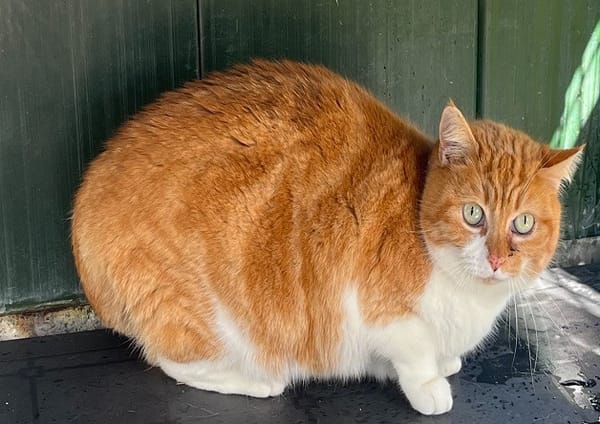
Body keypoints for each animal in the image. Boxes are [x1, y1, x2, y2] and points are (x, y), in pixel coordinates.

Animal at [71, 59, 582, 415]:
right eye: (474, 214)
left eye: (523, 223)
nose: (496, 259)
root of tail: (86, 203)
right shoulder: (375, 308)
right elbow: (415, 350)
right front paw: (429, 385)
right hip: (207, 317)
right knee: (171, 359)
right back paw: (258, 380)